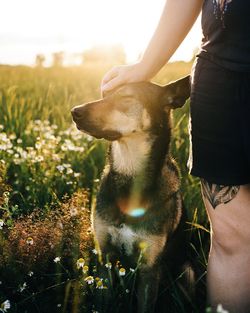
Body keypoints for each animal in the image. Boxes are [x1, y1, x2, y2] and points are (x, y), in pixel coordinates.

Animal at [71, 76, 194, 312]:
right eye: (104, 95)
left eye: (126, 98)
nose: (75, 111)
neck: (130, 180)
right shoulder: (105, 256)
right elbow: (104, 300)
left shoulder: (149, 268)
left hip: (187, 271)